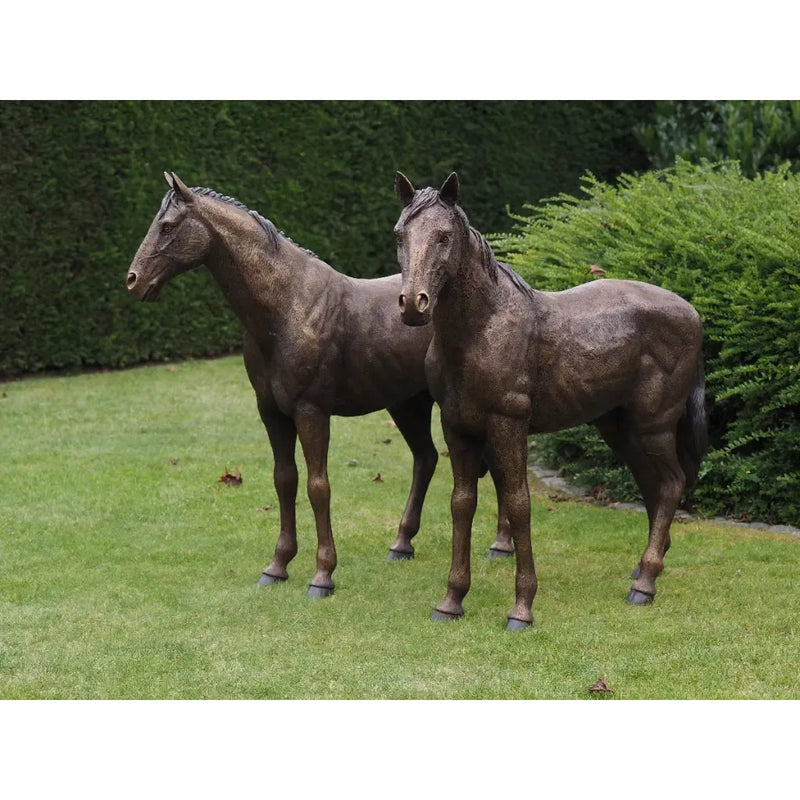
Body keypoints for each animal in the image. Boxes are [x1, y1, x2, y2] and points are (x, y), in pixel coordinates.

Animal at [127, 172, 510, 598]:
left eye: (168, 226)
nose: (133, 280)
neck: (286, 308)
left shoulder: (311, 412)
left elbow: (317, 486)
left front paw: (322, 574)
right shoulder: (271, 412)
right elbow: (285, 480)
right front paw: (277, 566)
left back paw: (501, 545)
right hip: (407, 404)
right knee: (425, 459)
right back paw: (401, 544)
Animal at [394, 171, 707, 630]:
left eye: (444, 236)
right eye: (400, 234)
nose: (413, 305)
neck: (482, 329)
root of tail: (692, 314)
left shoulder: (508, 424)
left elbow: (519, 503)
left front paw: (522, 607)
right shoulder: (457, 428)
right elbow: (462, 504)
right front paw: (452, 600)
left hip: (654, 426)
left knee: (671, 485)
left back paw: (645, 584)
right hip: (620, 428)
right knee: (654, 485)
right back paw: (643, 569)